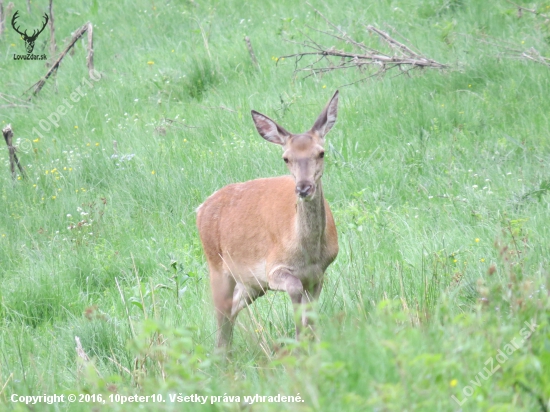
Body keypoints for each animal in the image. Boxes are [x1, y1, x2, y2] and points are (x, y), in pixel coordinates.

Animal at [196, 91, 338, 350]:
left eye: (321, 152)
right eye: (286, 158)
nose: (303, 188)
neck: (309, 252)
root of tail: (200, 209)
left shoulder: (319, 273)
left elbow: (311, 316)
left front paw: (313, 344)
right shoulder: (274, 268)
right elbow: (295, 293)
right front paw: (299, 344)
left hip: (251, 283)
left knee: (231, 310)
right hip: (217, 266)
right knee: (221, 313)